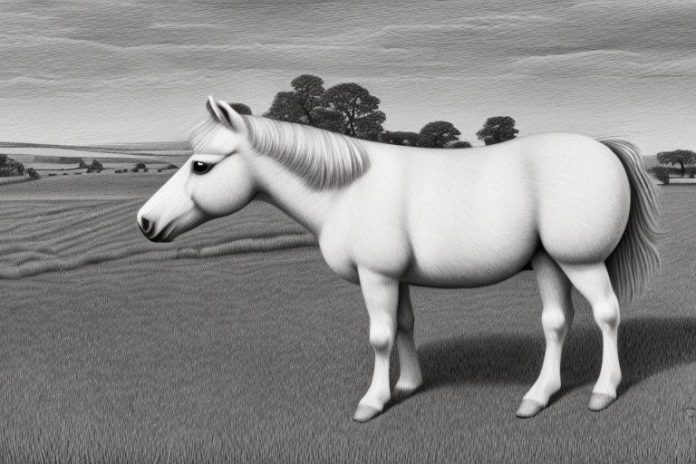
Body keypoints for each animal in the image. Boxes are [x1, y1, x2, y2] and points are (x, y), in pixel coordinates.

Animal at [137, 97, 660, 422]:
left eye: (201, 166)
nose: (145, 221)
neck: (346, 189)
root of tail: (603, 148)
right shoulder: (397, 278)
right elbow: (406, 326)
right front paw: (408, 386)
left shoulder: (378, 277)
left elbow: (381, 336)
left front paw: (373, 401)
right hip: (549, 262)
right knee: (556, 322)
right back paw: (538, 396)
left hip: (580, 261)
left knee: (607, 315)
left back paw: (603, 392)